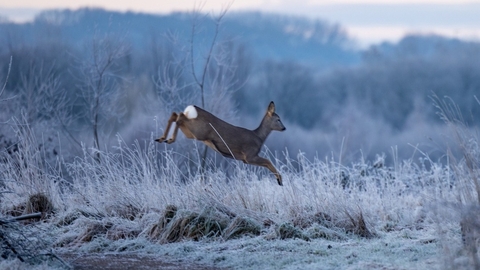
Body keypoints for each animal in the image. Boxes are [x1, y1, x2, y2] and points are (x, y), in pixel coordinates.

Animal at [156, 101, 286, 186]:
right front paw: (280, 179)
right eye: (278, 119)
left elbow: (266, 164)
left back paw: (162, 138)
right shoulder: (249, 155)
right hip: (198, 131)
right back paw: (170, 139)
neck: (259, 137)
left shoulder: (246, 159)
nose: (284, 128)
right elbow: (268, 161)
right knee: (180, 116)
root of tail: (192, 109)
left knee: (175, 114)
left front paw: (278, 179)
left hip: (190, 132)